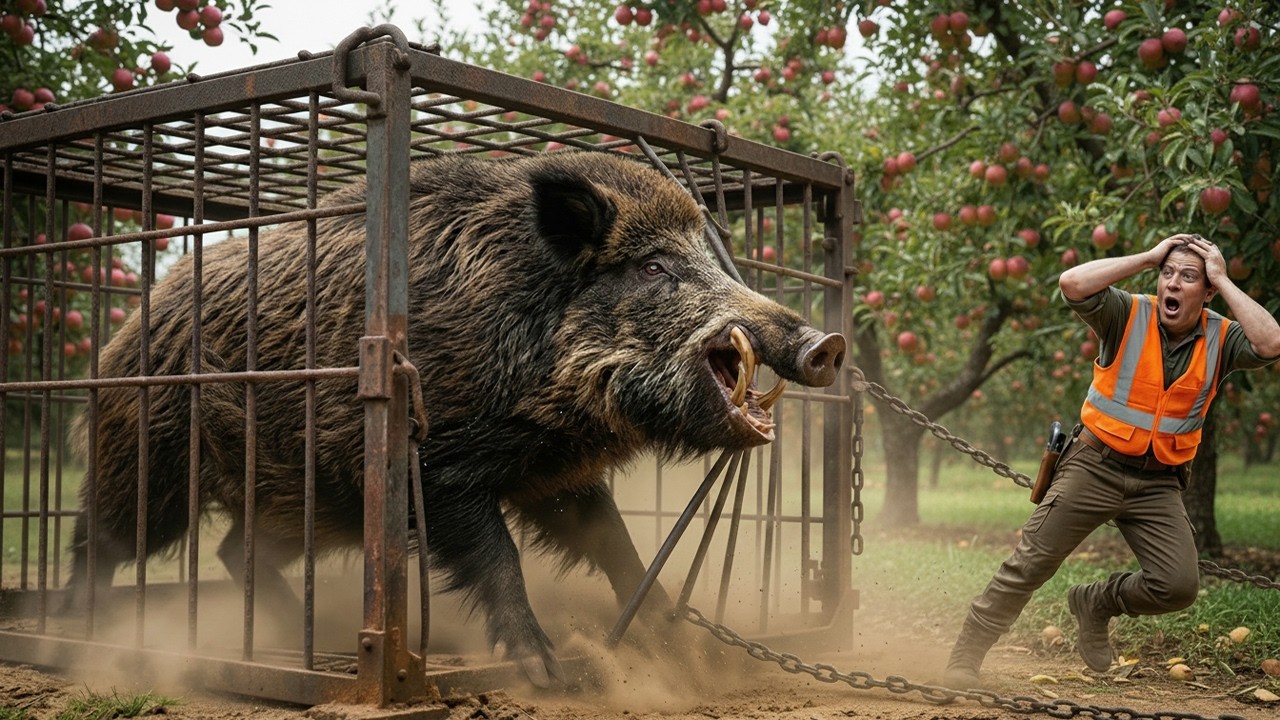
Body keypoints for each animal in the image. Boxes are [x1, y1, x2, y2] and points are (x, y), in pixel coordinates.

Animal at [67, 150, 846, 686]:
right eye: (654, 267)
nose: (825, 344)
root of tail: (126, 329)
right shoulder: (437, 464)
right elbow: (499, 559)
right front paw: (545, 672)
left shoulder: (552, 475)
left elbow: (615, 543)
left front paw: (674, 642)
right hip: (151, 459)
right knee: (102, 539)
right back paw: (84, 634)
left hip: (312, 499)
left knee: (237, 551)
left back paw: (304, 637)